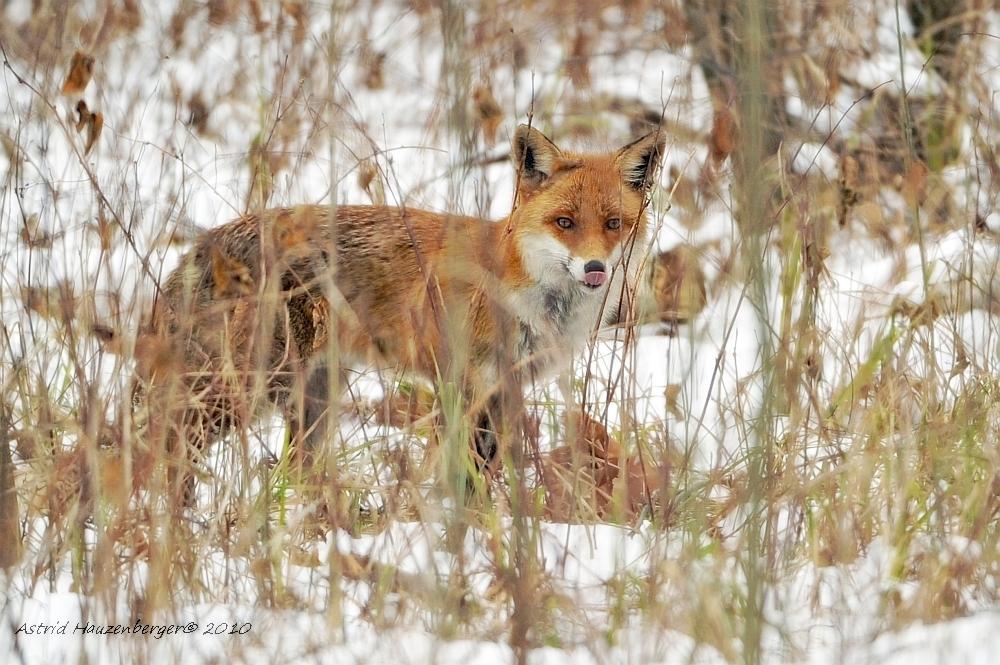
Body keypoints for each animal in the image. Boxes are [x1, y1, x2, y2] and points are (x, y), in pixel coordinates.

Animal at [134, 124, 665, 499]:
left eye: (613, 224)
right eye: (565, 223)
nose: (595, 268)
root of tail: (204, 243)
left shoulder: (502, 392)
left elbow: (484, 473)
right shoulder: (462, 384)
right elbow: (465, 477)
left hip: (315, 399)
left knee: (290, 470)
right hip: (249, 388)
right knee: (161, 447)